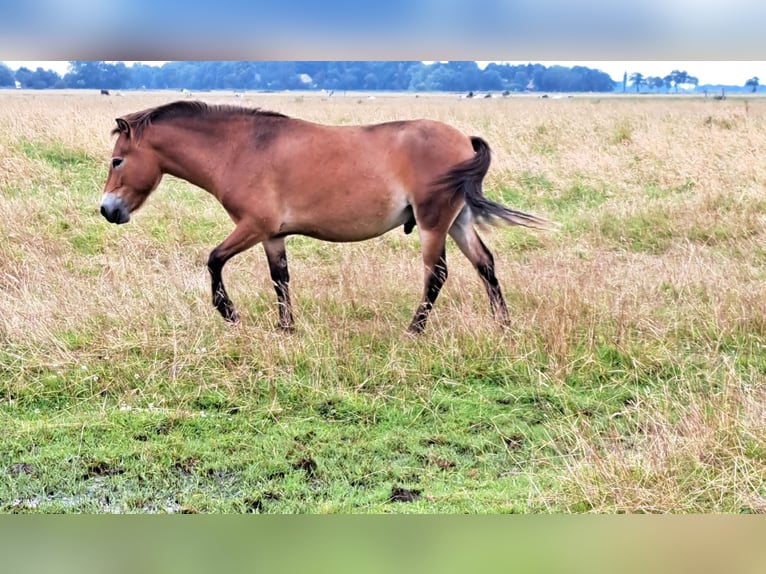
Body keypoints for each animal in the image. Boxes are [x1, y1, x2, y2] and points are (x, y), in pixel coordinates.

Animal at [103, 99, 560, 332]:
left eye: (117, 161)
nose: (107, 210)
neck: (242, 147)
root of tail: (463, 140)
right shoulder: (272, 235)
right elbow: (280, 279)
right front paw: (286, 328)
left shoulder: (252, 227)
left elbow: (214, 260)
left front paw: (228, 313)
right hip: (458, 221)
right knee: (485, 265)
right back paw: (503, 326)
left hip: (433, 224)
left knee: (438, 274)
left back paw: (415, 329)